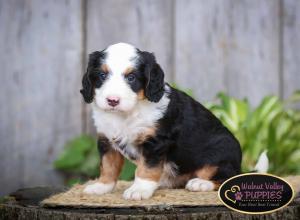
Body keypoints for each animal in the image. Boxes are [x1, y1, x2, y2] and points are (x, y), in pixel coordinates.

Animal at [81, 42, 243, 200]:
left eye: (131, 77)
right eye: (102, 75)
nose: (112, 100)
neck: (126, 114)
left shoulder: (155, 142)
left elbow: (147, 168)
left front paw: (139, 189)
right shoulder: (107, 141)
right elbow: (108, 166)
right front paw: (101, 186)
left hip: (222, 152)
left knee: (226, 177)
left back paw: (200, 183)